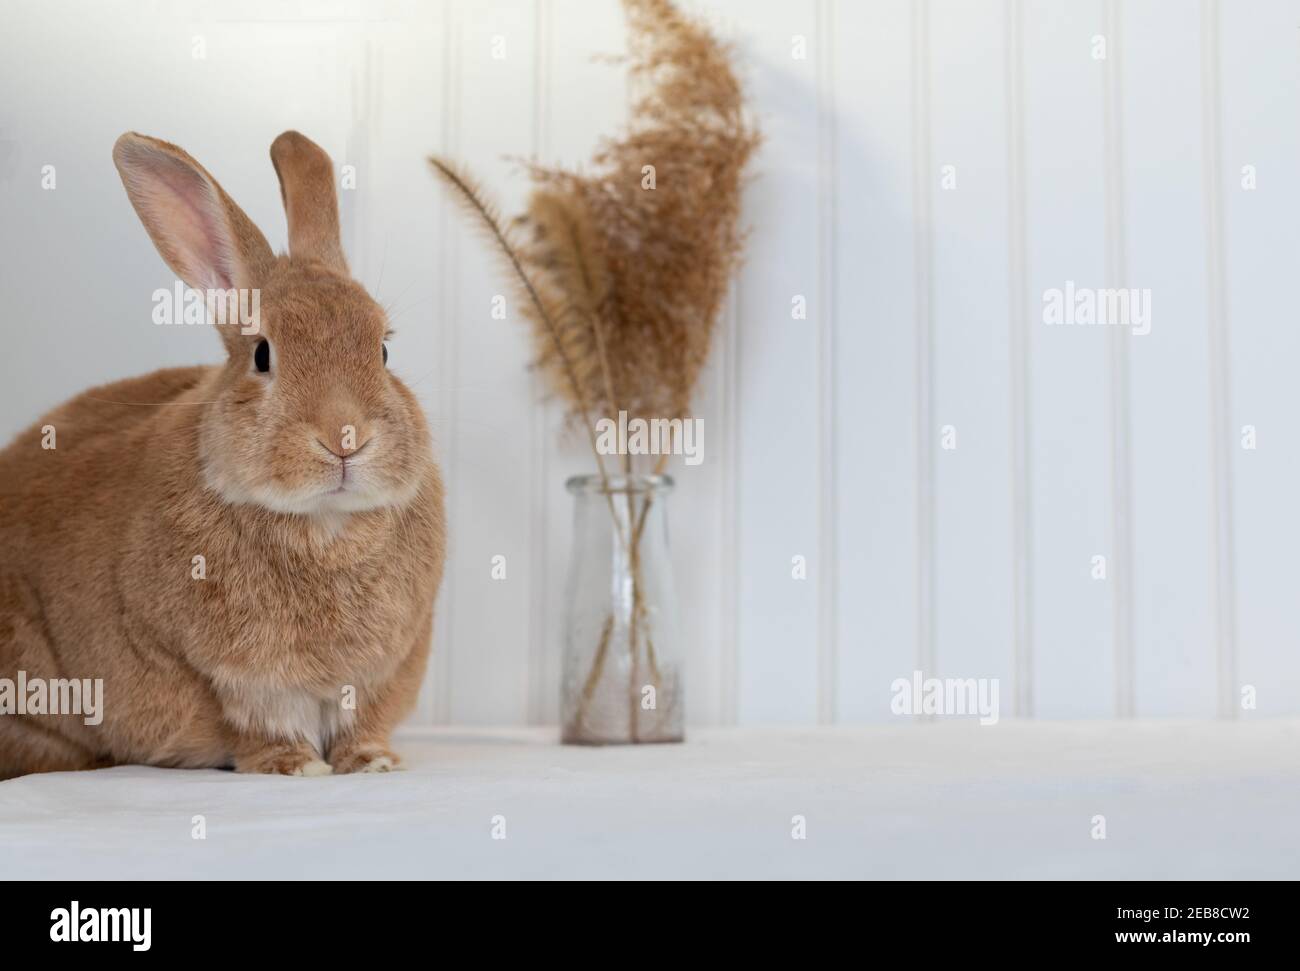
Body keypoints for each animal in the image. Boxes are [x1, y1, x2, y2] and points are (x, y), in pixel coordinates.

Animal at [0, 131, 445, 779]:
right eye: (262, 354)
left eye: (382, 350)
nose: (345, 437)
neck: (324, 526)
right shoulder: (228, 680)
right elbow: (257, 727)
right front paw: (295, 766)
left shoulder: (380, 676)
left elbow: (361, 724)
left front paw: (372, 762)